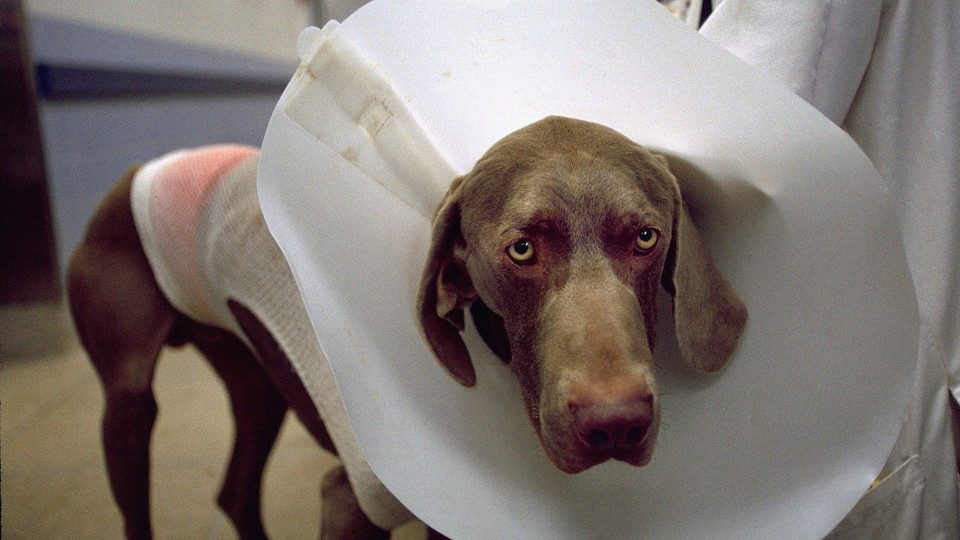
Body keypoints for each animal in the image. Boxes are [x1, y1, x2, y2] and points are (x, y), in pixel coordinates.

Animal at [67, 116, 748, 536]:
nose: (615, 425)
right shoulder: (351, 499)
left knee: (234, 489)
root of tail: (140, 167)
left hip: (255, 383)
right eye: (521, 249)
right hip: (128, 398)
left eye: (646, 238)